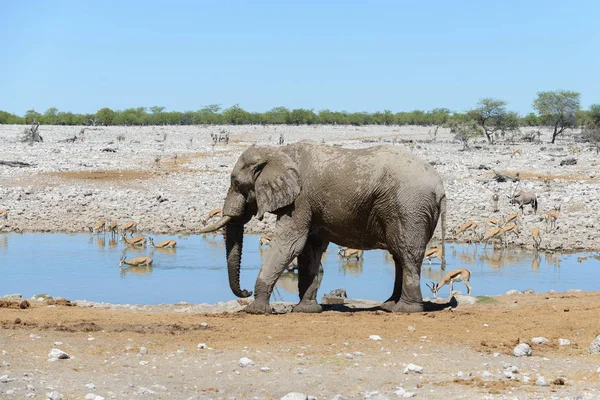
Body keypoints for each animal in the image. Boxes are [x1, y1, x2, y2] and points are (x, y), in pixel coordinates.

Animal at [199, 142, 448, 314]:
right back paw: (388, 306)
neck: (279, 152)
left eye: (236, 183)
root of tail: (439, 186)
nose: (245, 292)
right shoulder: (309, 205)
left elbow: (290, 243)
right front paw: (306, 310)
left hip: (409, 207)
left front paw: (255, 311)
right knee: (399, 255)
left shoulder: (300, 200)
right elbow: (309, 248)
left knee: (406, 253)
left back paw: (405, 310)